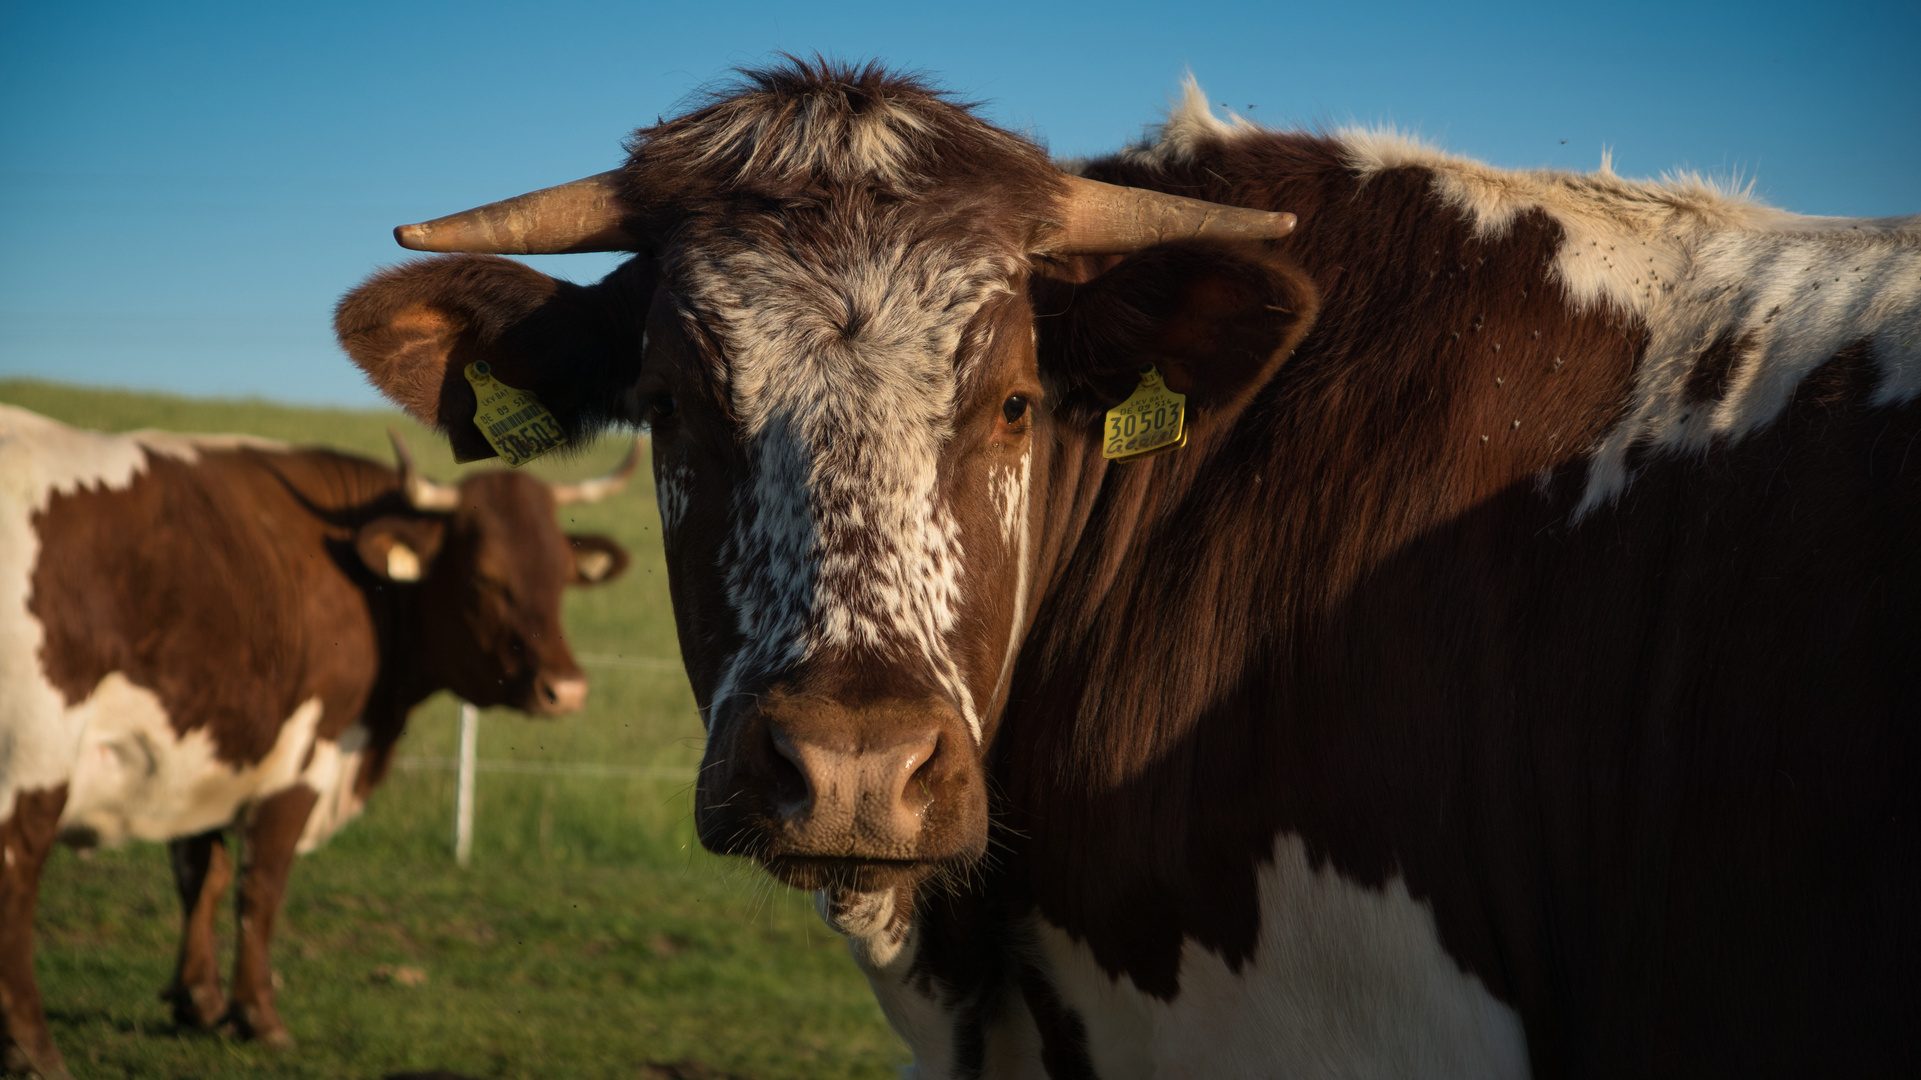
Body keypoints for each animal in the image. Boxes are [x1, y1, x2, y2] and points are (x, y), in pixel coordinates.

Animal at [0, 403, 633, 1076]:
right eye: (484, 577)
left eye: (562, 575)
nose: (565, 689)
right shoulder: (306, 753)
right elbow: (261, 883)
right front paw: (258, 1015)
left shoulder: (211, 742)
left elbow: (202, 871)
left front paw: (199, 1001)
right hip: (35, 752)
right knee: (18, 875)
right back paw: (35, 1047)